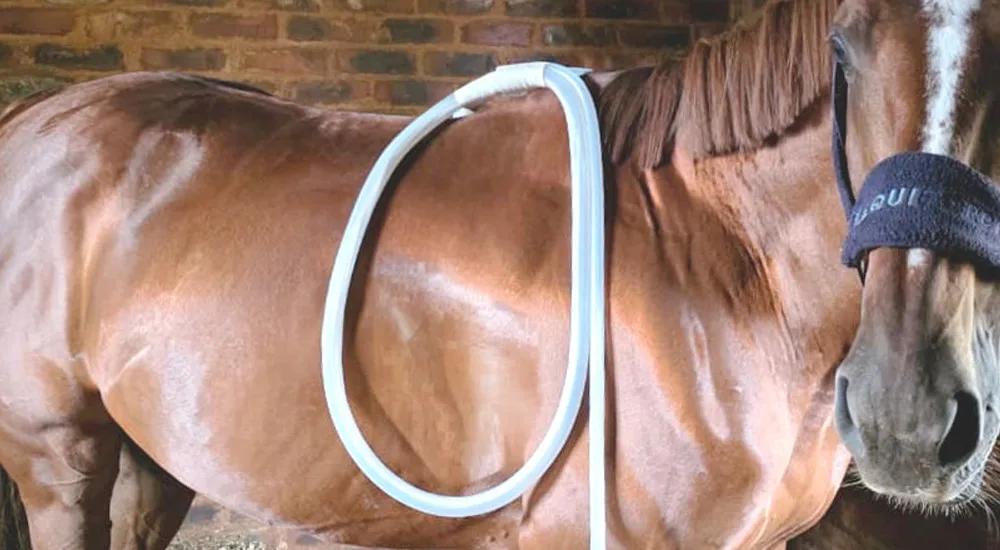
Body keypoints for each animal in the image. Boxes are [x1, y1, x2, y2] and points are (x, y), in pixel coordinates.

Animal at [0, 0, 988, 547]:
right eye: (844, 48)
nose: (908, 417)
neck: (717, 257)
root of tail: (36, 115)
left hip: (150, 463)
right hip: (60, 459)